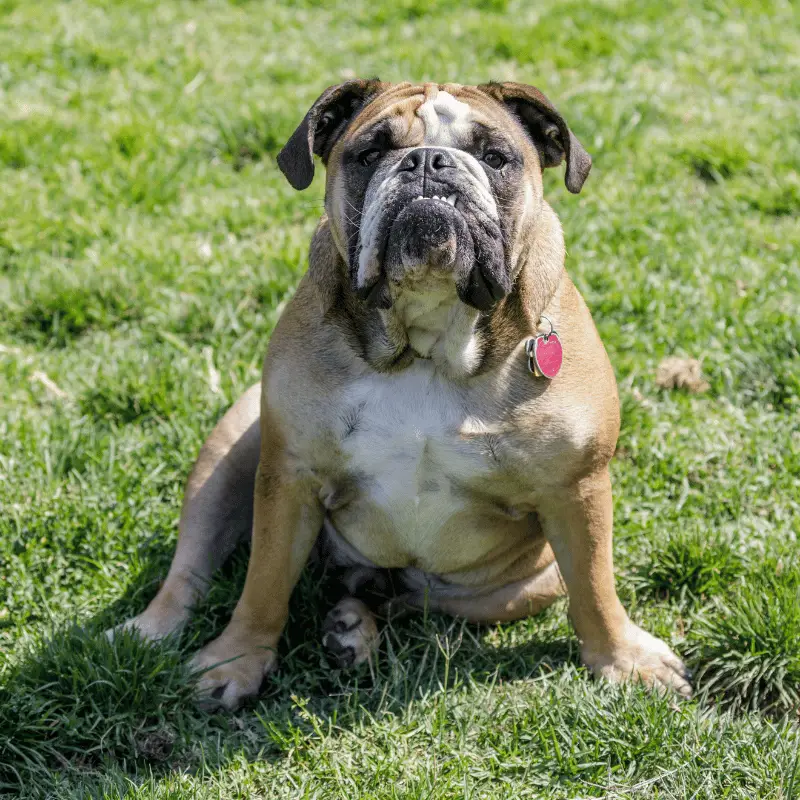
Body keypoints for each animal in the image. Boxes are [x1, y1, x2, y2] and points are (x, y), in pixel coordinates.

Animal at [109, 79, 692, 708]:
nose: (429, 162)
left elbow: (595, 586)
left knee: (413, 600)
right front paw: (237, 660)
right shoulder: (289, 477)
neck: (427, 342)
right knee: (191, 567)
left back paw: (353, 625)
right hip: (233, 446)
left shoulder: (577, 489)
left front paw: (623, 658)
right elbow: (262, 582)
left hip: (523, 586)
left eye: (495, 157)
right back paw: (151, 629)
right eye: (371, 153)